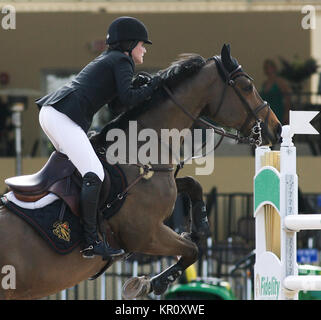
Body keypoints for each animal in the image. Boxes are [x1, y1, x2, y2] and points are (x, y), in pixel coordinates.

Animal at [0, 43, 280, 298]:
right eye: (246, 87)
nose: (276, 129)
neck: (140, 148)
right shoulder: (146, 235)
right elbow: (192, 250)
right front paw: (153, 283)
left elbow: (192, 185)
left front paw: (200, 225)